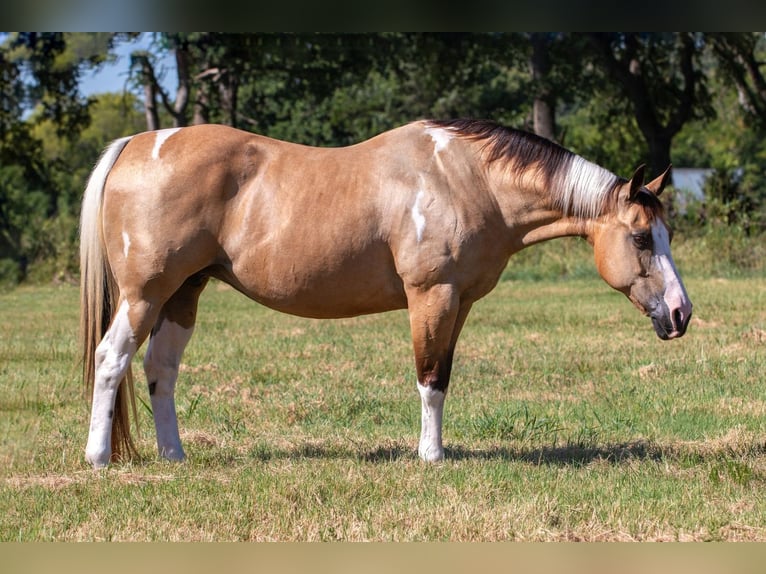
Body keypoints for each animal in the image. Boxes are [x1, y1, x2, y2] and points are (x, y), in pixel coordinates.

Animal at [79, 119, 692, 468]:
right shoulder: (431, 296)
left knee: (159, 370)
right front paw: (431, 458)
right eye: (641, 236)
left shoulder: (459, 303)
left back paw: (174, 457)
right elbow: (429, 380)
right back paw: (98, 458)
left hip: (183, 295)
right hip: (145, 293)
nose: (681, 313)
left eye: (666, 233)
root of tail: (137, 144)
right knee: (112, 359)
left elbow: (443, 376)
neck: (467, 179)